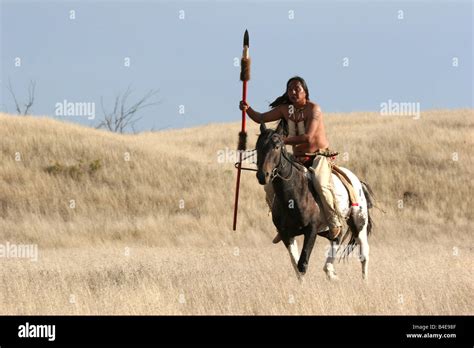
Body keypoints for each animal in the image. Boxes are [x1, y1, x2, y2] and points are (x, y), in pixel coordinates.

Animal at [258, 121, 372, 280]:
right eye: (257, 147)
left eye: (276, 146)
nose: (263, 175)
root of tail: (357, 181)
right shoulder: (287, 235)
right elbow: (297, 267)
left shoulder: (311, 230)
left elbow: (302, 264)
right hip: (328, 229)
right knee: (336, 237)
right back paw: (330, 272)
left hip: (359, 223)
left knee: (364, 254)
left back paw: (363, 281)